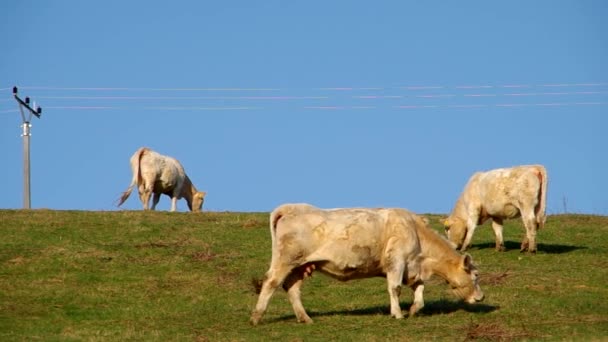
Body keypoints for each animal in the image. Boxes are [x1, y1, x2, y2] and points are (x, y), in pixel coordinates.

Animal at [249, 204, 482, 324]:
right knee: (270, 283)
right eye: (476, 275)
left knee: (292, 288)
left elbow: (419, 289)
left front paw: (414, 309)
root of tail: (291, 207)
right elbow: (395, 288)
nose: (481, 297)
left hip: (300, 266)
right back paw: (257, 317)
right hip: (285, 261)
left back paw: (304, 318)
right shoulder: (396, 262)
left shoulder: (412, 267)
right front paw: (397, 314)